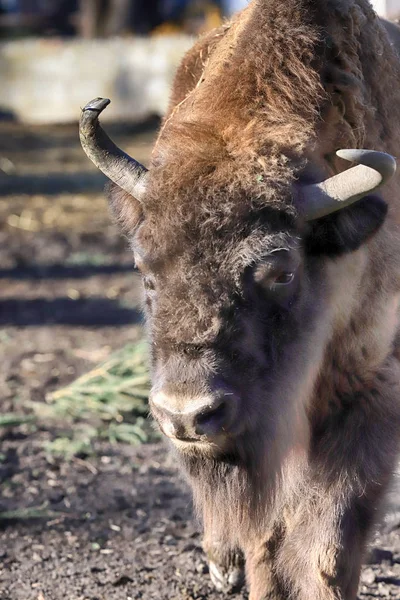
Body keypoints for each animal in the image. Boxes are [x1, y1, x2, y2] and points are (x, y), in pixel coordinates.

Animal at [79, 1, 400, 600]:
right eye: (145, 269)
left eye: (281, 270)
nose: (186, 414)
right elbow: (269, 527)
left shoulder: (366, 383)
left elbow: (332, 528)